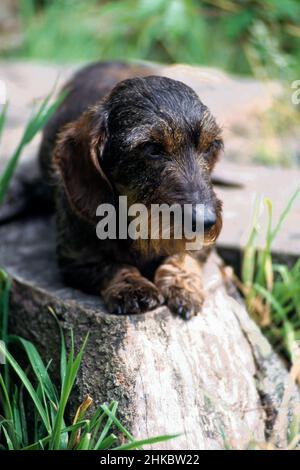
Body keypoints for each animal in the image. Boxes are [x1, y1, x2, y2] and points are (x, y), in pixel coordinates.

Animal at [38, 60, 223, 318]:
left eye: (211, 146)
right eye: (152, 148)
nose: (205, 222)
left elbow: (184, 257)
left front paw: (182, 285)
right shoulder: (75, 261)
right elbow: (112, 267)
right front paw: (132, 288)